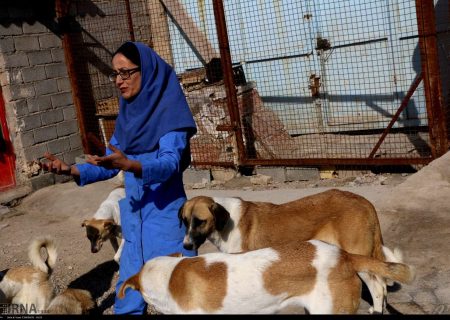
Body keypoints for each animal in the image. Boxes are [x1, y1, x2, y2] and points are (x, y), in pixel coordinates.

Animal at [178, 189, 402, 314]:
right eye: (185, 221)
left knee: (378, 287)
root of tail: (363, 201)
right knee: (382, 282)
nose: (186, 246)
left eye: (200, 221)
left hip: (358, 255)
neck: (225, 222)